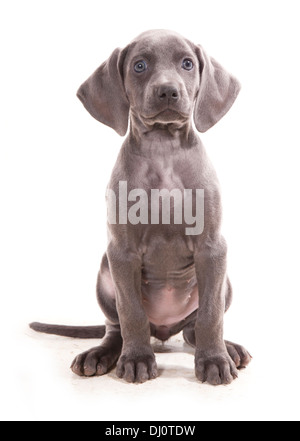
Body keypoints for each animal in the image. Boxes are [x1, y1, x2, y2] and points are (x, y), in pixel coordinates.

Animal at [31, 29, 251, 384]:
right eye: (139, 65)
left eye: (187, 63)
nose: (168, 91)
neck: (163, 151)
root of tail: (162, 331)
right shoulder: (122, 251)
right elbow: (132, 312)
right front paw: (136, 360)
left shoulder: (212, 247)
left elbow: (211, 316)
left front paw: (215, 360)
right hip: (105, 273)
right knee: (116, 328)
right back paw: (100, 354)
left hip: (223, 281)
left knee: (193, 328)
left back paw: (228, 348)